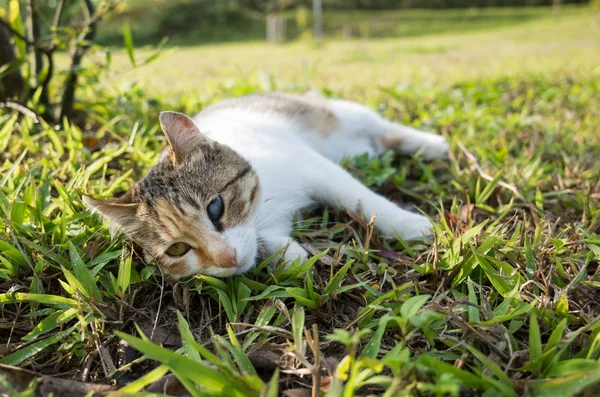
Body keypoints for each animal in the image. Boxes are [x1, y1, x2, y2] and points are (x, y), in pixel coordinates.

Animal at [84, 92, 450, 278]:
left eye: (215, 207)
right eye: (177, 249)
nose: (225, 260)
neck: (265, 207)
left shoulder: (313, 166)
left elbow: (362, 198)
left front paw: (412, 225)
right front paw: (288, 254)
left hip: (338, 114)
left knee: (384, 128)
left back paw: (431, 144)